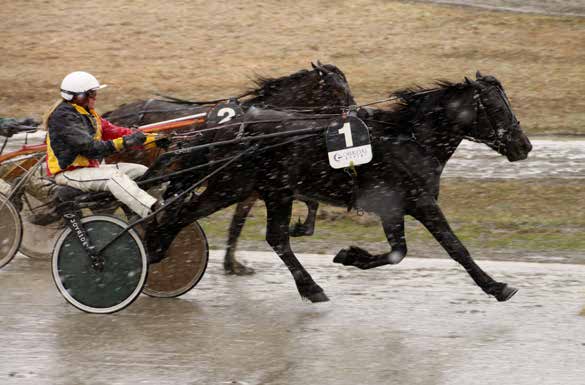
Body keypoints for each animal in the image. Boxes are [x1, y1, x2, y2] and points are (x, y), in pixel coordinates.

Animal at [102, 61, 354, 272]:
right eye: (337, 90)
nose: (353, 111)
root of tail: (115, 114)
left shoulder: (260, 184)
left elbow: (240, 222)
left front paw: (233, 263)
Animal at [149, 70, 528, 302]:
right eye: (497, 107)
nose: (524, 146)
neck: (408, 139)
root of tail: (225, 126)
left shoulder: (393, 208)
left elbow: (398, 252)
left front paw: (351, 256)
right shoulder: (420, 203)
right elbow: (455, 248)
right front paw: (497, 286)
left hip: (273, 190)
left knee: (275, 238)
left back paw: (310, 287)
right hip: (233, 185)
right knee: (180, 214)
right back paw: (154, 253)